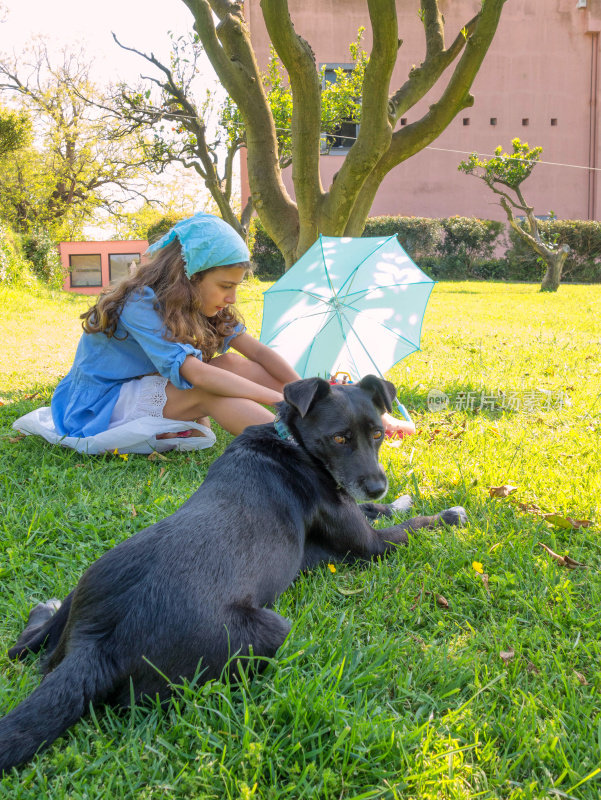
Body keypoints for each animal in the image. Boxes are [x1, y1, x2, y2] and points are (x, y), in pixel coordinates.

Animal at [0, 378, 464, 772]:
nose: (378, 484)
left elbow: (380, 511)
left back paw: (45, 609)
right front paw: (448, 513)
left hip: (92, 577)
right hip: (269, 629)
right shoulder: (369, 547)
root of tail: (97, 645)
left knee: (23, 648)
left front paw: (399, 500)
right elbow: (413, 526)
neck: (292, 442)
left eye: (378, 434)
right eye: (339, 438)